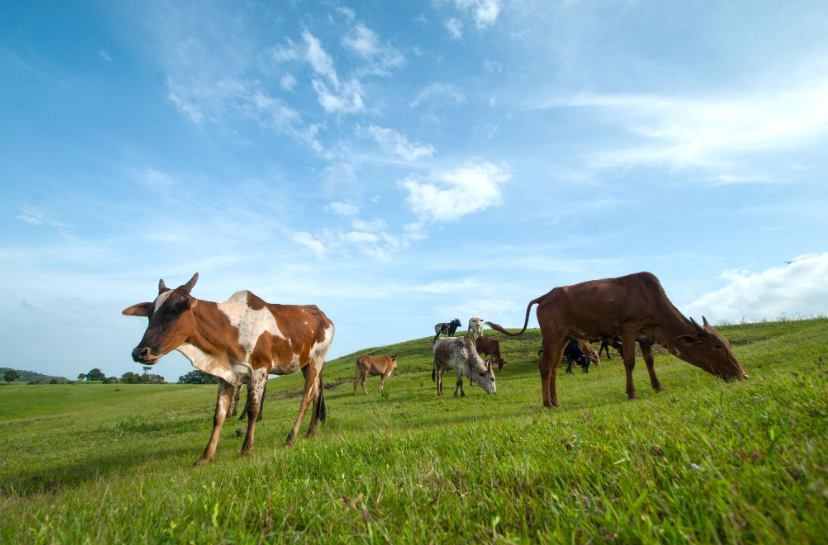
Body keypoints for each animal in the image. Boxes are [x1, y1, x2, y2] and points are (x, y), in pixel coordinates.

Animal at [123, 273, 334, 464]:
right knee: (316, 393)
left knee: (307, 396)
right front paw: (206, 456)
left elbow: (252, 409)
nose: (139, 352)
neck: (231, 329)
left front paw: (247, 449)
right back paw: (311, 431)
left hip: (316, 359)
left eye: (175, 310)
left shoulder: (259, 370)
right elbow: (219, 415)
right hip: (306, 363)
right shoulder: (225, 376)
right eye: (149, 314)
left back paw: (291, 438)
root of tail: (323, 316)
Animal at [486, 272, 747, 408]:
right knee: (544, 366)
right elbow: (630, 361)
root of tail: (544, 296)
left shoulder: (645, 335)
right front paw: (632, 393)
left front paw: (658, 387)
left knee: (554, 367)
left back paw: (555, 401)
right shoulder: (628, 328)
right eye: (717, 346)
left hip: (564, 338)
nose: (743, 375)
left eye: (727, 343)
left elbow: (650, 362)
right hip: (552, 336)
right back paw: (547, 403)